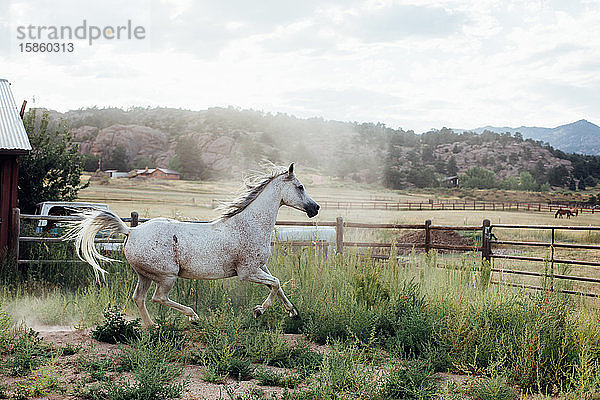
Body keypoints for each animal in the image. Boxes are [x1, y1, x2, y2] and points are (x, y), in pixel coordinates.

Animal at [63, 164, 322, 326]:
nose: (315, 208)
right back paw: (192, 316)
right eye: (300, 187)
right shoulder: (247, 272)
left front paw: (292, 312)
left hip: (144, 275)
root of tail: (131, 231)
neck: (249, 224)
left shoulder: (260, 267)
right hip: (167, 276)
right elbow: (276, 283)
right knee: (158, 298)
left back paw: (152, 327)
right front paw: (259, 311)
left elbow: (277, 285)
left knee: (139, 298)